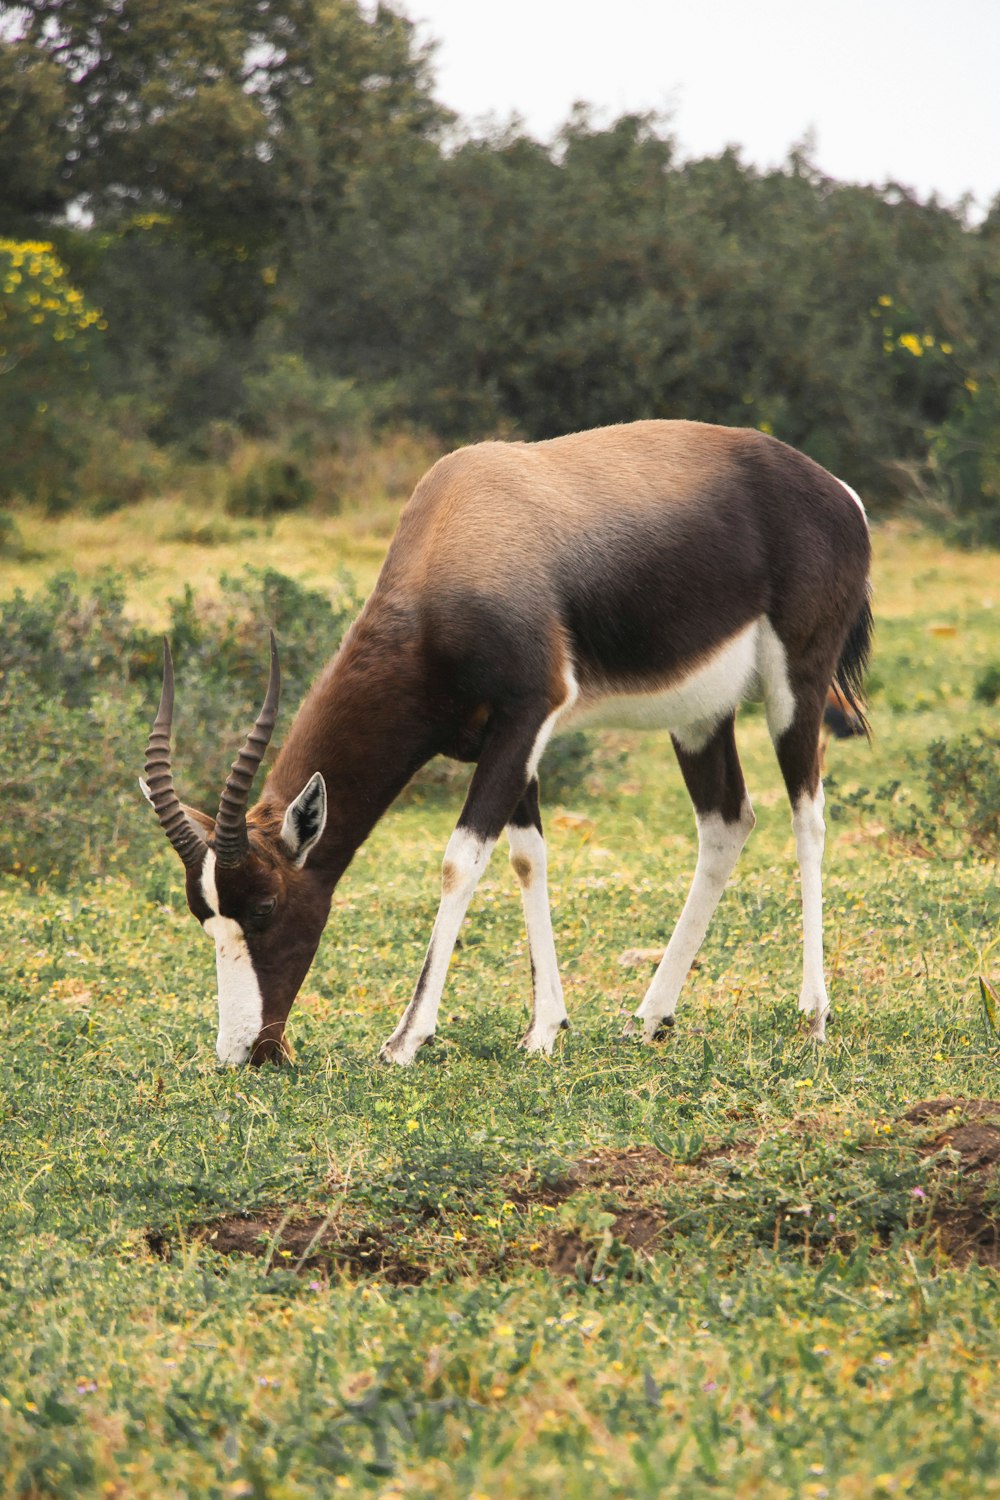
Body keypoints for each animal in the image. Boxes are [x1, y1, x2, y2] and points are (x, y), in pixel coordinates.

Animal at [140, 423, 869, 1068]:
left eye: (264, 906)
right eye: (204, 916)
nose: (246, 1053)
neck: (455, 533)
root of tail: (840, 494)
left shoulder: (525, 717)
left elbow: (460, 861)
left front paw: (406, 1040)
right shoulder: (504, 742)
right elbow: (526, 858)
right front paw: (545, 1030)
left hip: (797, 689)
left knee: (808, 817)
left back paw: (813, 1016)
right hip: (698, 715)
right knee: (726, 823)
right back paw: (650, 1018)